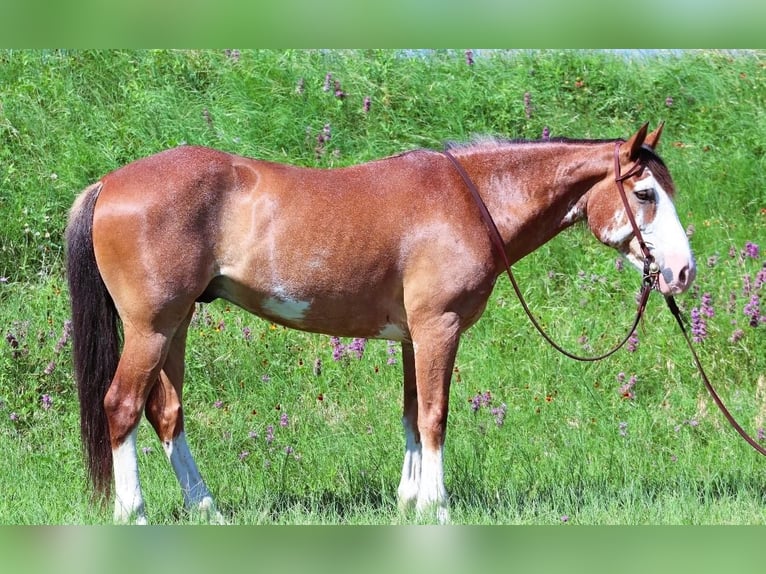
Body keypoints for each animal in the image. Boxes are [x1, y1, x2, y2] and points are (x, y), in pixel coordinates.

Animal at [67, 122, 696, 528]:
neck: (471, 201)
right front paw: (438, 507)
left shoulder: (415, 338)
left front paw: (410, 503)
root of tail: (109, 183)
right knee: (122, 407)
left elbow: (413, 417)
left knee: (166, 413)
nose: (682, 272)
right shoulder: (440, 327)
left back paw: (207, 510)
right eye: (644, 193)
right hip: (151, 328)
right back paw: (134, 514)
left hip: (176, 326)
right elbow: (436, 417)